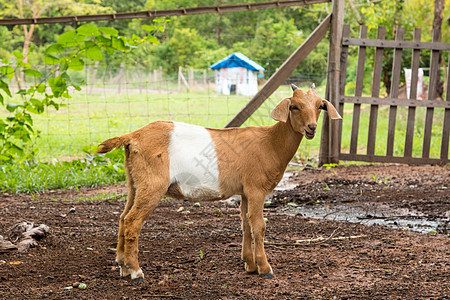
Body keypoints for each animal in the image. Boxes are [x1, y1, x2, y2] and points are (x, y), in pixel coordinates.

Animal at [96, 85, 342, 282]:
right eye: (294, 107)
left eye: (320, 106)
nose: (311, 128)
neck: (271, 143)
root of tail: (133, 136)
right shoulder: (256, 189)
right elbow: (259, 225)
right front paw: (265, 268)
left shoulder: (245, 191)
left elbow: (245, 223)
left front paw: (249, 265)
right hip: (152, 184)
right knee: (133, 222)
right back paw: (136, 272)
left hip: (134, 183)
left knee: (123, 218)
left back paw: (123, 266)